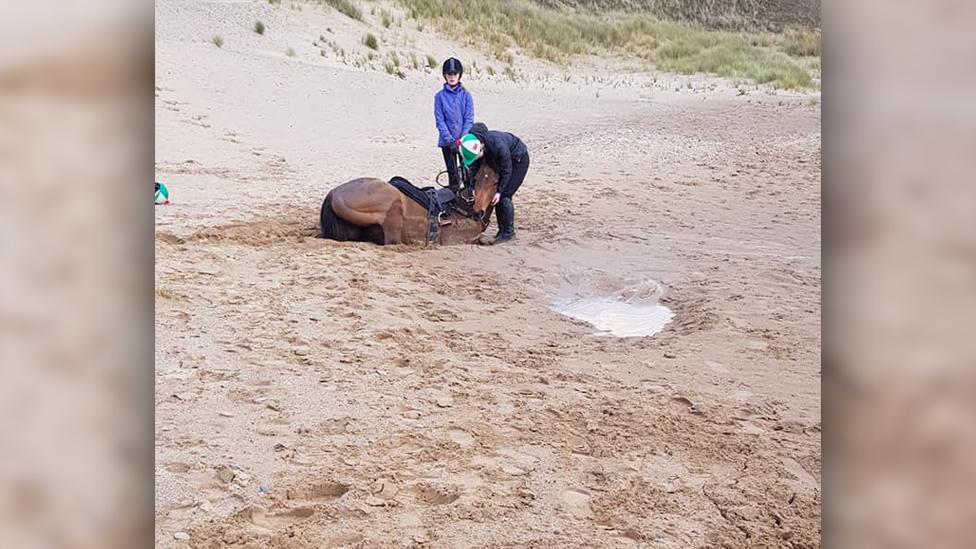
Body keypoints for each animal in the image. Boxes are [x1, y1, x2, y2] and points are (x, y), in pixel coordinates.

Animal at [320, 165, 500, 246]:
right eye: (476, 179)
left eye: (495, 182)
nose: (479, 210)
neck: (463, 206)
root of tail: (333, 194)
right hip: (394, 207)